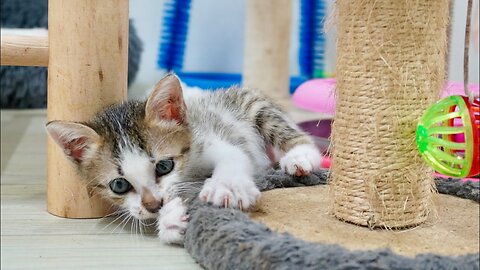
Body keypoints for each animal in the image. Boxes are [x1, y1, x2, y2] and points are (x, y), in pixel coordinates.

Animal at [46, 74, 322, 245]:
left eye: (164, 166)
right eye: (119, 185)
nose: (153, 205)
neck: (189, 171)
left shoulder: (208, 140)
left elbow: (233, 156)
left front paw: (227, 186)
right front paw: (170, 220)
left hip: (253, 105)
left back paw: (299, 155)